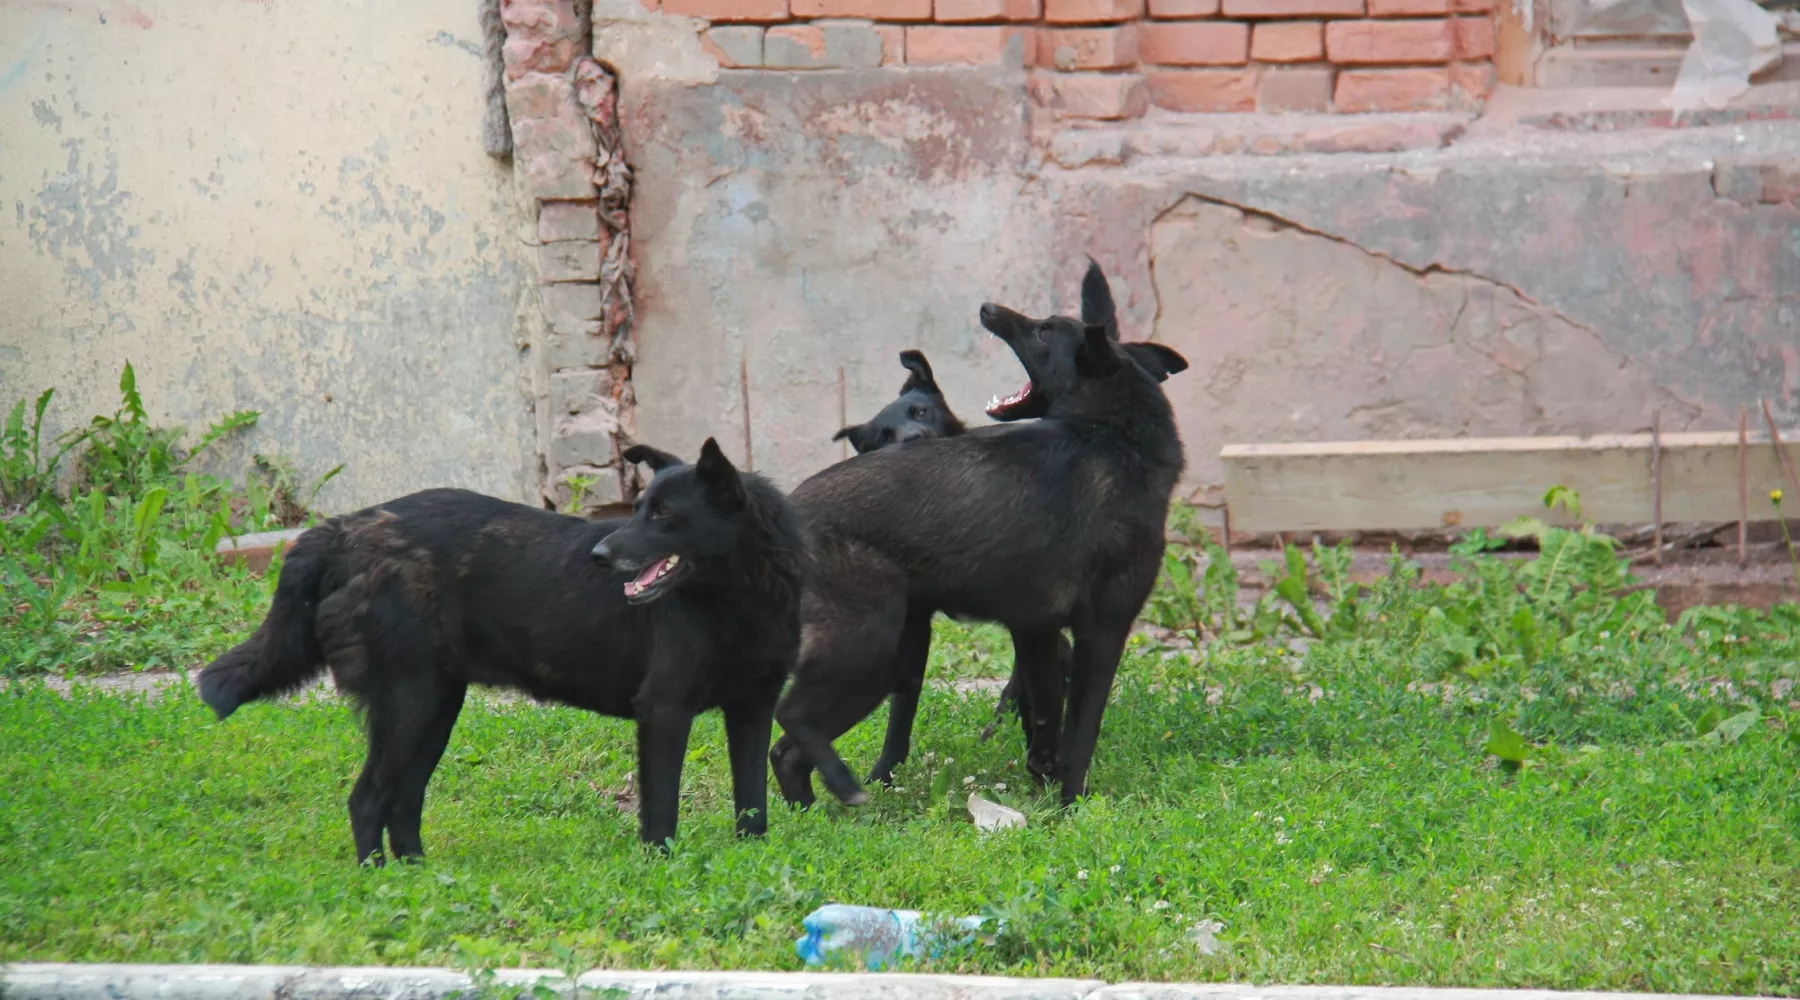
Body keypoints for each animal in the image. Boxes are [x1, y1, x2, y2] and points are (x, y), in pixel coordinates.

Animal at [195, 440, 802, 863]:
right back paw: (376, 880)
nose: (600, 555)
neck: (739, 597)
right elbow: (661, 812)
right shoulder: (664, 711)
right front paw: (660, 868)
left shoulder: (752, 709)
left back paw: (417, 875)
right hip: (409, 704)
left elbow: (753, 802)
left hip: (435, 708)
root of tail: (344, 529)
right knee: (367, 798)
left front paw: (753, 858)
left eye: (664, 515)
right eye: (637, 510)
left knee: (403, 800)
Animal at [770, 262, 1180, 809]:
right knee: (790, 716)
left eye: (1044, 330)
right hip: (870, 649)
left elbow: (1046, 718)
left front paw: (1044, 785)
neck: (1111, 433)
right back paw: (843, 787)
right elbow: (1079, 731)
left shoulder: (1037, 629)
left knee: (785, 752)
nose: (988, 308)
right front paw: (1069, 801)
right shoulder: (1103, 628)